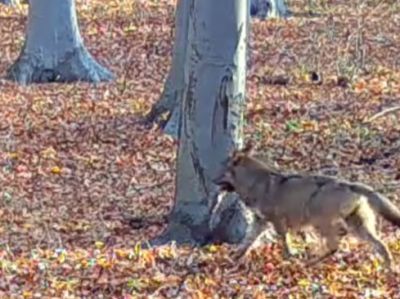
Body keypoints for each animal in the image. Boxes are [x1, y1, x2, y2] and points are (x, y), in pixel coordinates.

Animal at [214, 143, 400, 270]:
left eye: (222, 173)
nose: (212, 181)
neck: (255, 183)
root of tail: (349, 184)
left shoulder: (277, 221)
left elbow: (284, 241)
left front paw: (290, 257)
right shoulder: (259, 222)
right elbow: (246, 242)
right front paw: (233, 258)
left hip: (319, 220)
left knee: (335, 244)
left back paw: (310, 262)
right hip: (356, 226)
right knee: (379, 245)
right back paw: (389, 269)